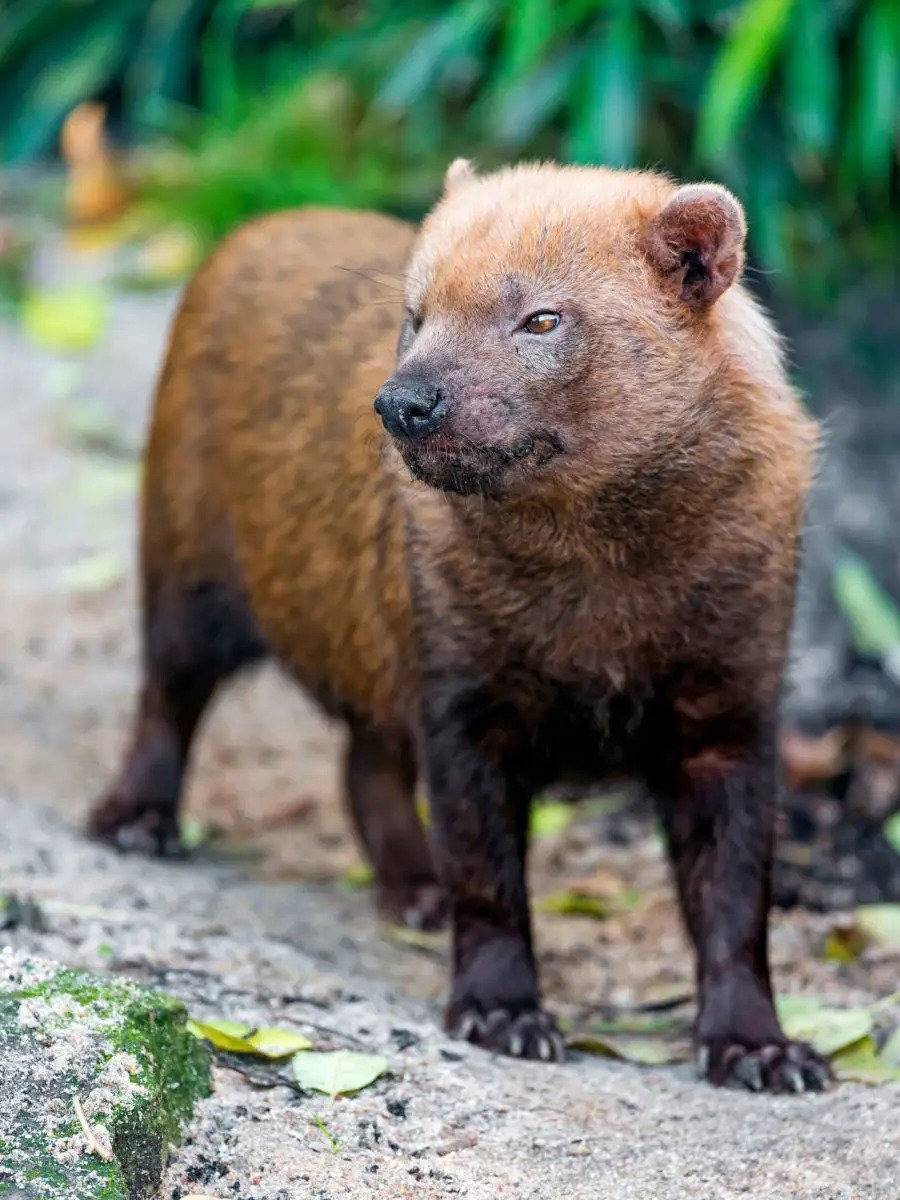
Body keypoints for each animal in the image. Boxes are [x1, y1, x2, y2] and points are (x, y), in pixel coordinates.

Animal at [93, 164, 830, 1094]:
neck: (604, 615)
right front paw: (503, 1014)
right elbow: (487, 876)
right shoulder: (463, 691)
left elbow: (736, 896)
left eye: (542, 317)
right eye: (416, 313)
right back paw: (136, 822)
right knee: (168, 694)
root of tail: (252, 231)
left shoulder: (731, 705)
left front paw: (763, 1050)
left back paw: (413, 890)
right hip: (186, 567)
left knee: (362, 762)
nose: (402, 402)